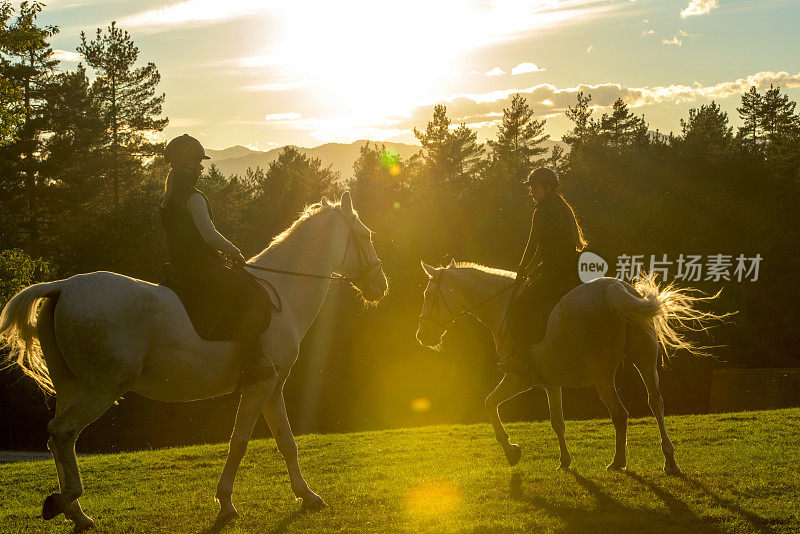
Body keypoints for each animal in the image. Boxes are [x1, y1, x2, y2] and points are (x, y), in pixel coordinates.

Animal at [0, 192, 388, 532]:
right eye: (366, 235)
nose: (380, 285)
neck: (284, 295)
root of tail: (64, 287)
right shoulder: (260, 385)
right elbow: (239, 442)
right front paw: (226, 504)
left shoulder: (272, 387)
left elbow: (286, 442)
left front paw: (307, 496)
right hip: (101, 389)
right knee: (63, 432)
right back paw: (65, 502)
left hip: (71, 386)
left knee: (59, 441)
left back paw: (76, 513)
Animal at [416, 262, 728, 476]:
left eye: (429, 295)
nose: (422, 336)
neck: (504, 306)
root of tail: (616, 289)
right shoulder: (550, 383)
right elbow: (558, 422)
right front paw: (564, 461)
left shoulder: (518, 378)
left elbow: (489, 404)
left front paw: (511, 451)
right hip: (645, 363)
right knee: (656, 403)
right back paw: (670, 461)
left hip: (602, 375)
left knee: (620, 413)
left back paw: (618, 462)